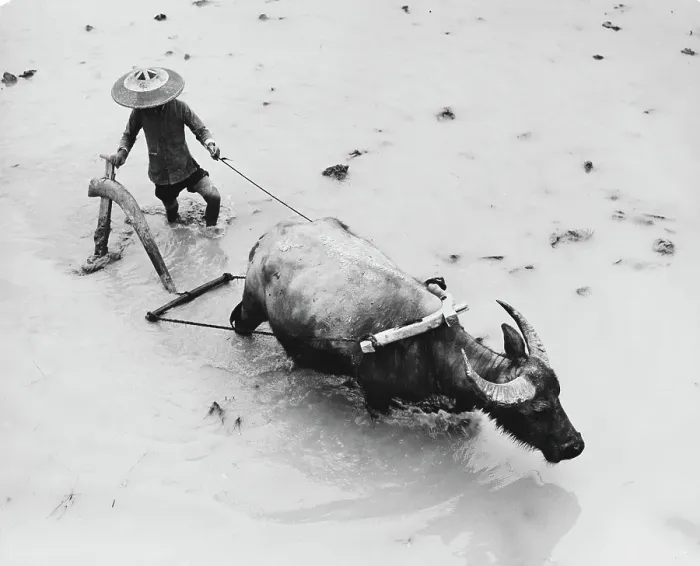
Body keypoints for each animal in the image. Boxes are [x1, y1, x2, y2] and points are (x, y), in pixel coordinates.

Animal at [231, 217, 584, 463]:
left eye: (559, 395)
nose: (575, 445)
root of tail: (268, 238)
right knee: (239, 325)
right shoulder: (376, 397)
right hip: (251, 308)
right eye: (537, 410)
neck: (432, 347)